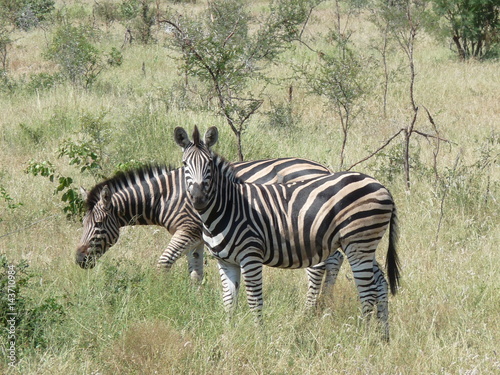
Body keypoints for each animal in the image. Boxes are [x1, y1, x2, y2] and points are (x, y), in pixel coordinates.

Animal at [176, 126, 402, 340]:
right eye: (185, 164)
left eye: (209, 165)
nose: (198, 199)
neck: (229, 207)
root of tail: (381, 186)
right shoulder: (225, 261)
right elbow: (229, 301)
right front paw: (228, 336)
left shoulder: (251, 256)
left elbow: (254, 300)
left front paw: (259, 337)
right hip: (365, 244)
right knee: (380, 283)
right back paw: (384, 336)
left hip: (358, 242)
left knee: (368, 291)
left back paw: (364, 338)